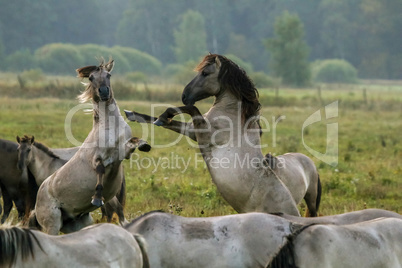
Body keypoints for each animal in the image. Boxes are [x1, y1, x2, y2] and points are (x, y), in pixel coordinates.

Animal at [29, 59, 150, 234]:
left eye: (108, 75)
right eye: (91, 78)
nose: (104, 91)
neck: (110, 126)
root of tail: (38, 200)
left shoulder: (122, 152)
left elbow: (134, 142)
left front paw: (145, 145)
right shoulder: (97, 158)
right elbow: (100, 169)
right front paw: (97, 198)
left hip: (78, 223)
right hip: (52, 224)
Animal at [125, 54, 320, 216]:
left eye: (205, 73)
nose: (184, 95)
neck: (234, 115)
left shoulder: (203, 132)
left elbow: (191, 108)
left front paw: (165, 115)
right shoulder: (193, 131)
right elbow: (169, 122)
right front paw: (134, 114)